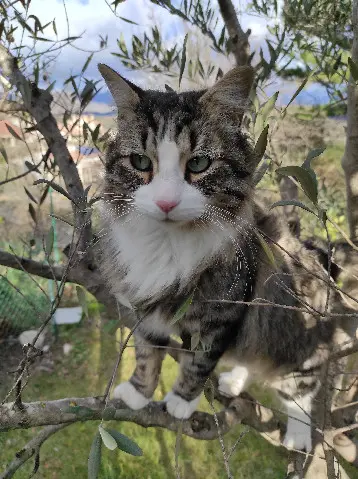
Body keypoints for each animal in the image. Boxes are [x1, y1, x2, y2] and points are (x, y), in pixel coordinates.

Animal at [96, 64, 346, 454]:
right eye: (140, 162)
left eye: (199, 164)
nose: (166, 202)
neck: (167, 243)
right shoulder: (146, 309)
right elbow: (147, 354)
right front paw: (139, 392)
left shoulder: (223, 313)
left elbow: (199, 363)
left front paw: (181, 401)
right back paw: (235, 381)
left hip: (298, 347)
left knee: (302, 392)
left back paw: (298, 435)